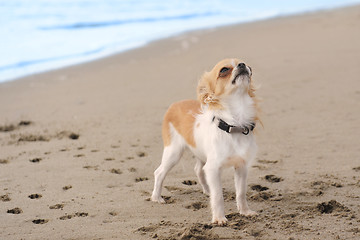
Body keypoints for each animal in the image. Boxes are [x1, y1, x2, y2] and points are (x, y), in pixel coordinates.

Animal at [150, 58, 260, 225]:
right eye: (224, 70)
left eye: (248, 66)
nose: (242, 65)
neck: (233, 125)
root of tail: (174, 105)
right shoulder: (213, 168)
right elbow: (218, 196)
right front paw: (219, 218)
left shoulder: (241, 166)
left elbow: (241, 192)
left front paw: (245, 212)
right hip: (173, 152)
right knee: (159, 172)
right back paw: (156, 197)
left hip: (201, 154)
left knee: (198, 170)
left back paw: (207, 190)